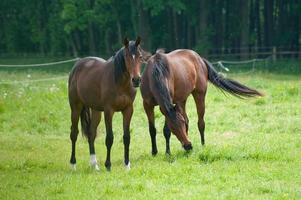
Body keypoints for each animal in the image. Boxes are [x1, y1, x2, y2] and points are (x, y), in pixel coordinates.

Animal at [67, 36, 148, 171]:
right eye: (126, 56)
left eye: (140, 56)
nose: (136, 80)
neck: (120, 83)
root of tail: (77, 66)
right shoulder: (109, 111)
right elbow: (109, 138)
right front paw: (108, 165)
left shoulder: (128, 110)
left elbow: (127, 137)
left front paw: (127, 165)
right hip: (75, 107)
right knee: (74, 133)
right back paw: (73, 165)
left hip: (96, 110)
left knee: (91, 133)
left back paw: (94, 165)